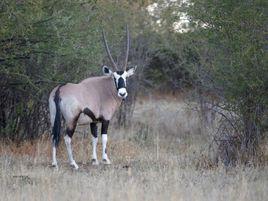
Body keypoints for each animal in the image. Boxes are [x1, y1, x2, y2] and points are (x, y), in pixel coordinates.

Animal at [48, 25, 136, 169]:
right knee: (67, 138)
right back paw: (73, 164)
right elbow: (104, 137)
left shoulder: (93, 121)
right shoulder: (106, 119)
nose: (122, 93)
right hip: (71, 120)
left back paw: (54, 163)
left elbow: (94, 138)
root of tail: (60, 90)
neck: (105, 89)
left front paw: (94, 160)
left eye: (126, 77)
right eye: (114, 77)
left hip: (54, 116)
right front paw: (105, 159)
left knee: (54, 136)